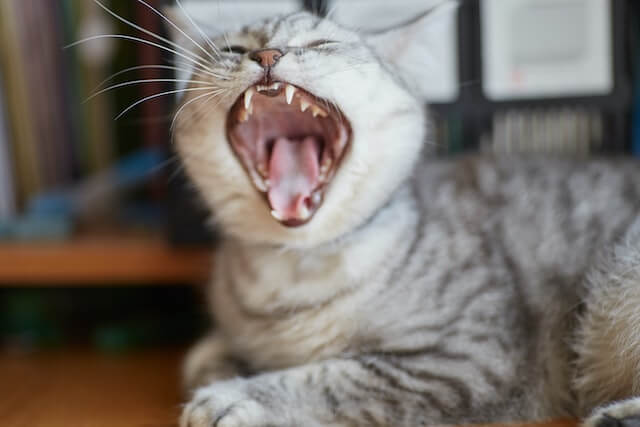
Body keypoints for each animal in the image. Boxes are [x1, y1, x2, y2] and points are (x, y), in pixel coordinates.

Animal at [159, 0, 640, 427]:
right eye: (232, 49)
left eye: (322, 43)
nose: (266, 55)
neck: (292, 273)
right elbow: (204, 355)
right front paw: (228, 365)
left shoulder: (468, 358)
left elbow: (332, 378)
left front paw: (233, 396)